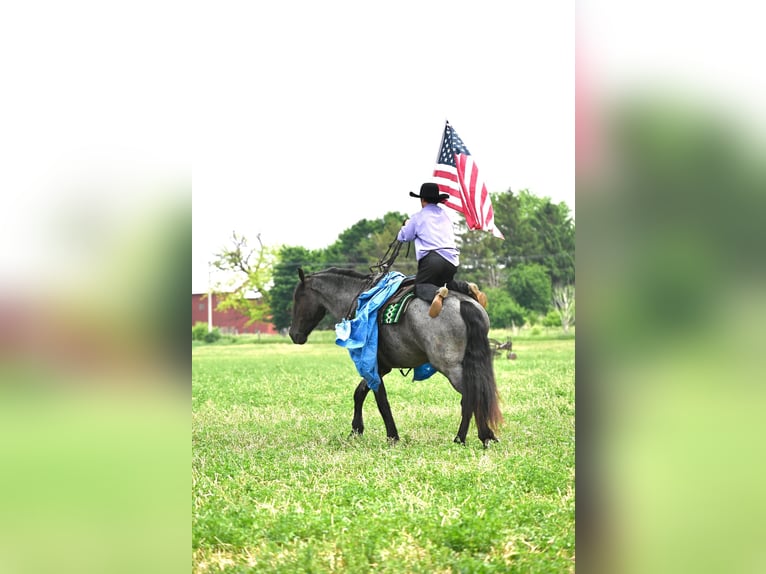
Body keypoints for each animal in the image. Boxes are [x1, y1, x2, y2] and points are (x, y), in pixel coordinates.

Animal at [288, 268, 504, 448]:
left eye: (297, 299)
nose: (293, 334)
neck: (359, 299)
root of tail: (463, 303)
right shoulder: (382, 367)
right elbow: (360, 392)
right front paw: (356, 430)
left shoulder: (372, 365)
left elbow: (381, 400)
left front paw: (392, 436)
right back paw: (479, 436)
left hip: (451, 367)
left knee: (470, 396)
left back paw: (470, 437)